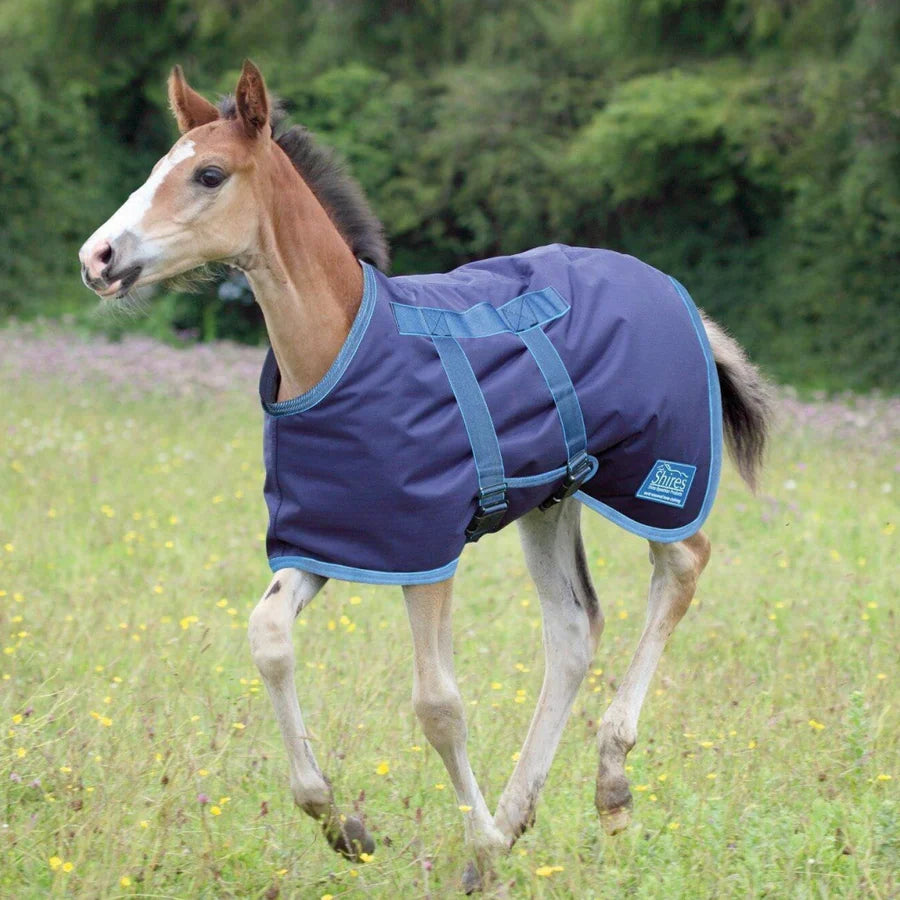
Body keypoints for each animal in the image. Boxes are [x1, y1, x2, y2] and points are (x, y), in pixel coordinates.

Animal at [79, 61, 772, 889]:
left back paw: (608, 783)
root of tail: (674, 294)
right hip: (552, 496)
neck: (339, 348)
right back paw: (521, 812)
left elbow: (438, 705)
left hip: (656, 475)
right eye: (158, 167)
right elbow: (268, 635)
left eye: (208, 174)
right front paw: (343, 824)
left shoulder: (426, 549)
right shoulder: (334, 536)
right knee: (574, 627)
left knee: (684, 564)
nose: (98, 258)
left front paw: (478, 849)